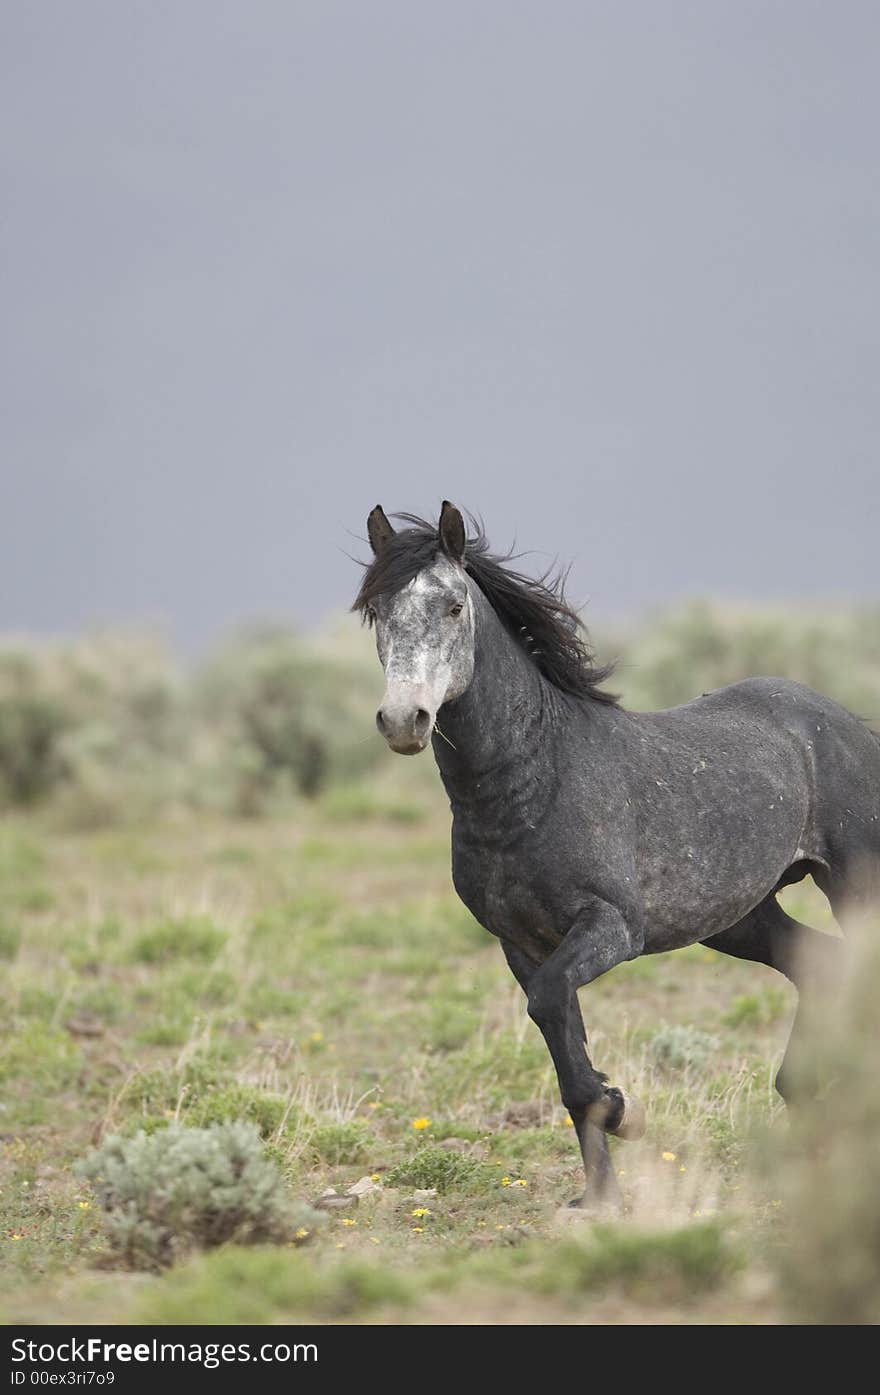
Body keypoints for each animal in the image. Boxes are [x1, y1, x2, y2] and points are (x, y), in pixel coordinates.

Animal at [352, 504, 880, 1210]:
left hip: (851, 885)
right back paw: (802, 1116)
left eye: (453, 606)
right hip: (740, 919)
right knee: (821, 965)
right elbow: (559, 1036)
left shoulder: (610, 928)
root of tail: (847, 723)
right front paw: (601, 1195)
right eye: (377, 612)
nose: (403, 719)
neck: (533, 782)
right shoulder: (523, 945)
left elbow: (553, 1009)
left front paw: (626, 1112)